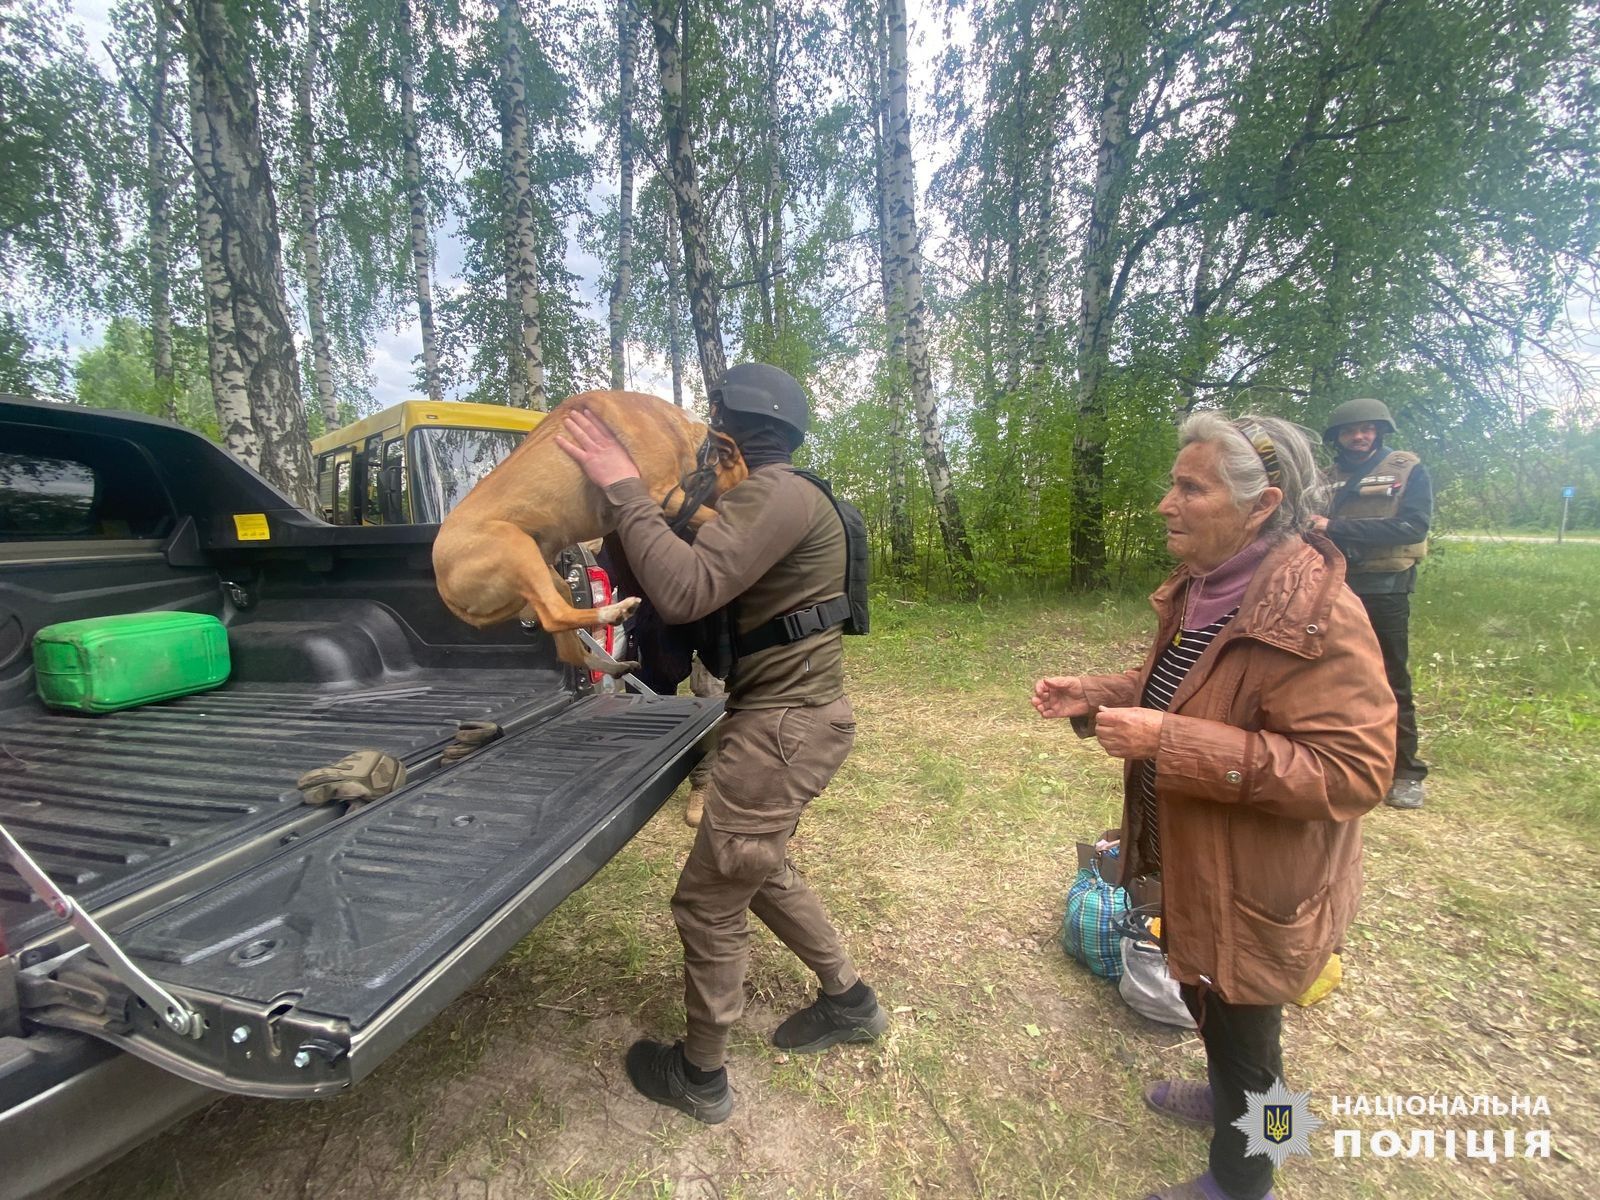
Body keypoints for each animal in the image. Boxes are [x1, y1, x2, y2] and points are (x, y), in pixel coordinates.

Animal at [428, 395, 745, 678]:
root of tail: (443, 586)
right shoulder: (661, 494)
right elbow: (712, 515)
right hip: (516, 546)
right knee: (555, 616)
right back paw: (615, 612)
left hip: (551, 579)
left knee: (568, 649)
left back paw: (615, 666)